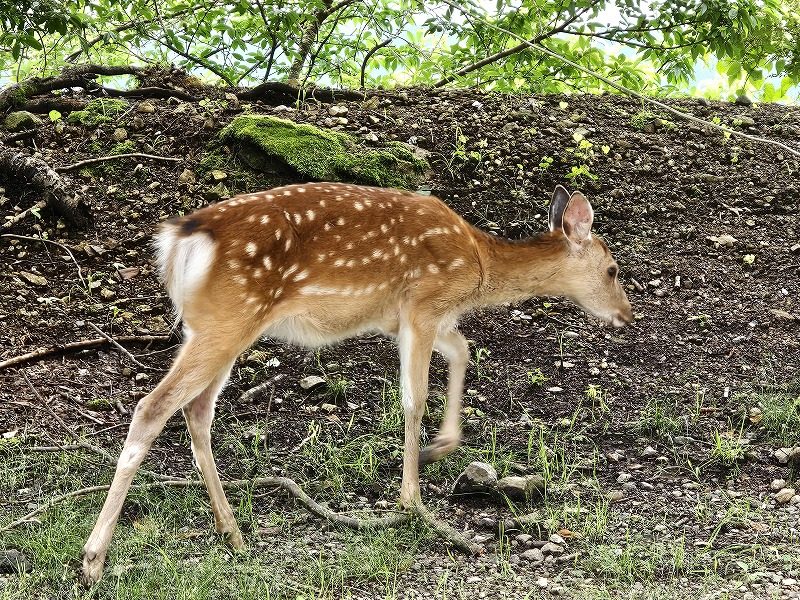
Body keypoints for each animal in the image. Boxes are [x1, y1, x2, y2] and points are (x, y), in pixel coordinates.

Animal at [81, 182, 632, 580]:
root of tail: (179, 237)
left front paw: (440, 447)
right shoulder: (424, 302)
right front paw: (415, 504)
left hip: (213, 325)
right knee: (153, 406)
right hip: (229, 316)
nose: (627, 316)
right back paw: (94, 559)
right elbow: (414, 398)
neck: (477, 263)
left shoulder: (403, 318)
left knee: (196, 411)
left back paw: (232, 532)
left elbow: (463, 351)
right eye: (611, 268)